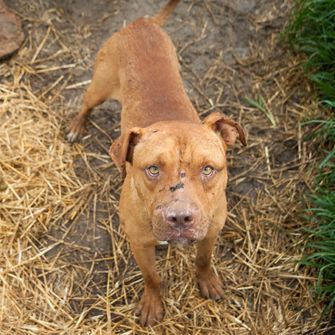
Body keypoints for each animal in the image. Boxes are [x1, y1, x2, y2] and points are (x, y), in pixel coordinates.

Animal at [67, 0, 247, 326]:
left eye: (208, 169)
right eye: (152, 169)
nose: (180, 218)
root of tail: (142, 22)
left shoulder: (211, 230)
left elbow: (204, 260)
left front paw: (207, 281)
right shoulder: (140, 244)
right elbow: (152, 277)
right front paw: (152, 304)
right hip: (100, 85)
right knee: (86, 103)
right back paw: (77, 125)